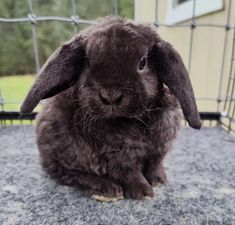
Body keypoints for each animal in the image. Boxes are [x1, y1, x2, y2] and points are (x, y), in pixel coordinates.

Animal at [20, 16, 201, 201]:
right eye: (88, 63)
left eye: (142, 62)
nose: (110, 96)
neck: (137, 121)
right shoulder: (119, 157)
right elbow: (130, 173)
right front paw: (142, 192)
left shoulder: (159, 150)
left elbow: (155, 164)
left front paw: (158, 179)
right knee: (66, 173)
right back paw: (107, 189)